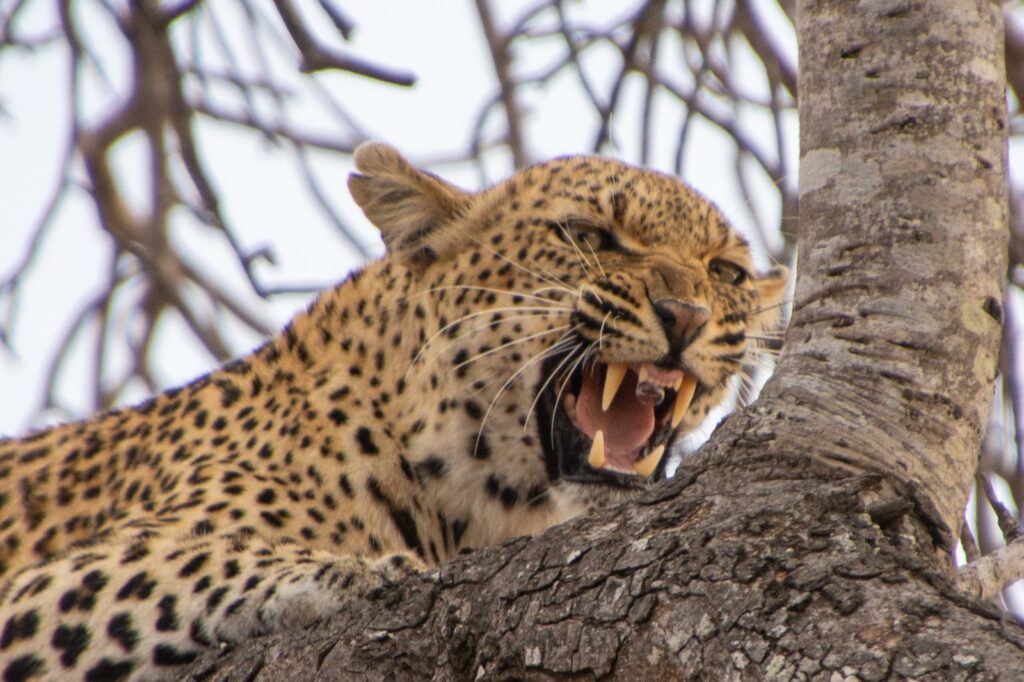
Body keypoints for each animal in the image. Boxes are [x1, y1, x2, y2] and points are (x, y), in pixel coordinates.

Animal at [0, 143, 787, 680]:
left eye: (726, 273)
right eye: (588, 236)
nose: (684, 313)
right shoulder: (35, 587)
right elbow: (180, 560)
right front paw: (343, 576)